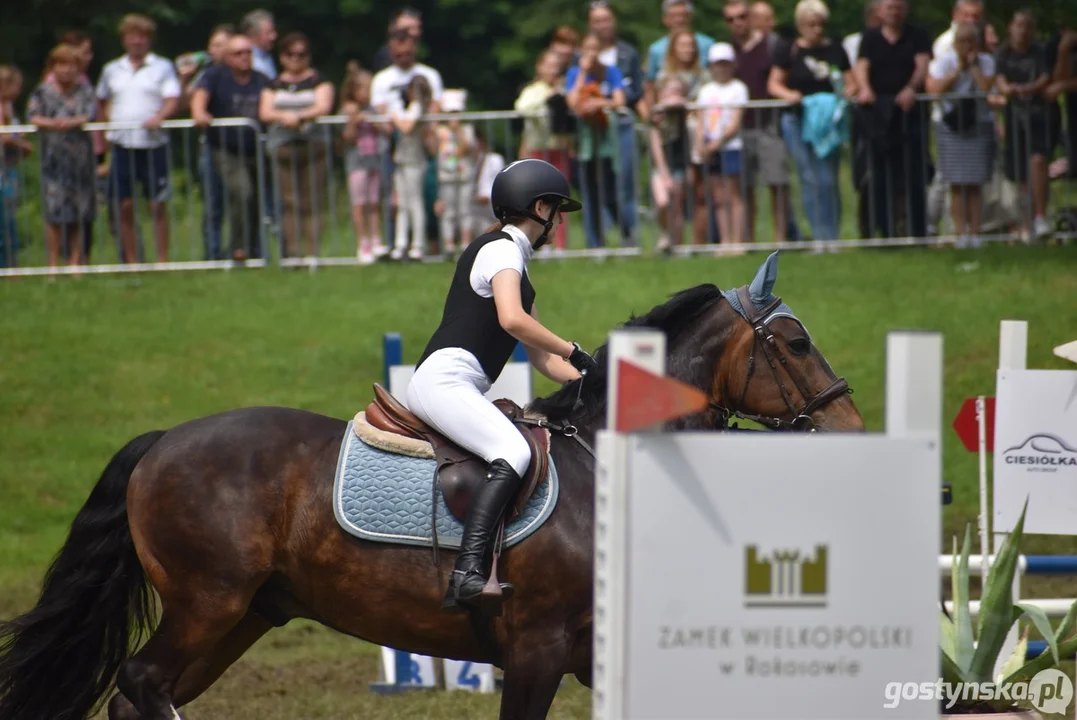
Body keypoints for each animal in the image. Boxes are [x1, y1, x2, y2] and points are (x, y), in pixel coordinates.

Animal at [0, 253, 865, 718]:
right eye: (794, 343)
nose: (853, 427)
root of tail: (162, 442)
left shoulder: (592, 654)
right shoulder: (536, 650)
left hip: (242, 615)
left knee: (137, 693)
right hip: (207, 601)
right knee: (144, 683)